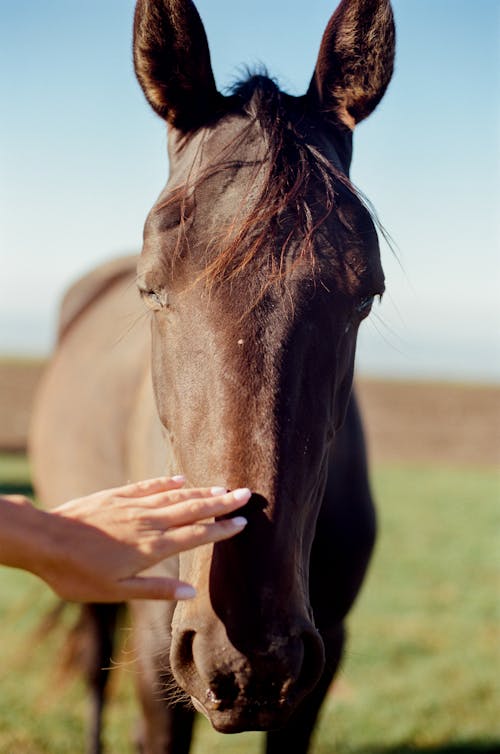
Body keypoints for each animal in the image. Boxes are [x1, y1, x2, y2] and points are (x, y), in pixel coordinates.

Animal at [31, 1, 396, 752]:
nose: (247, 655)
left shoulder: (322, 662)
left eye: (367, 294)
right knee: (92, 666)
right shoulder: (155, 659)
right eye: (150, 290)